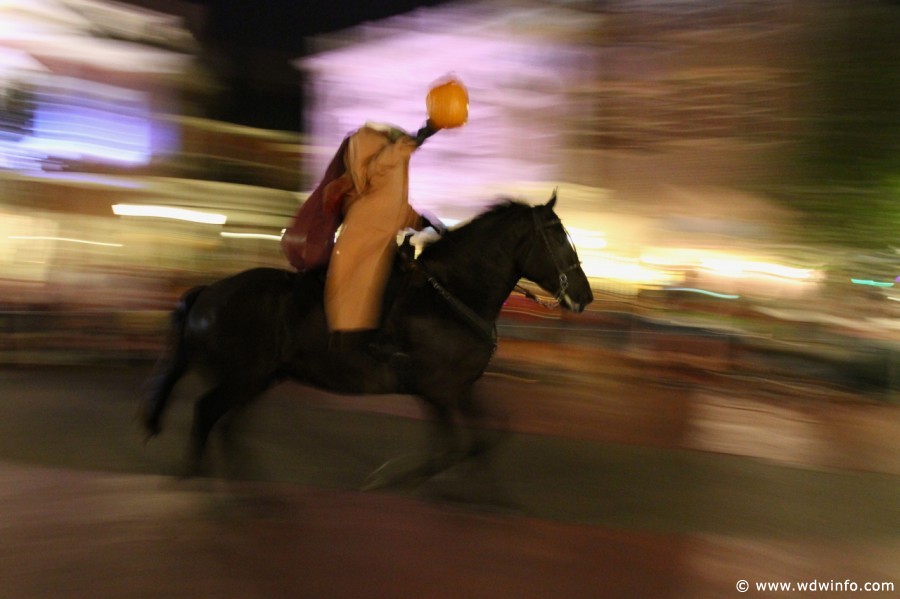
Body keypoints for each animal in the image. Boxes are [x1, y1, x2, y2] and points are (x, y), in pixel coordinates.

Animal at [141, 195, 596, 486]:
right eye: (558, 238)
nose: (585, 296)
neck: (451, 296)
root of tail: (208, 292)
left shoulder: (458, 388)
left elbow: (487, 437)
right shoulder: (440, 391)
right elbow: (455, 448)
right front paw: (401, 478)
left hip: (258, 379)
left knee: (227, 426)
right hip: (243, 377)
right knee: (206, 415)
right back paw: (198, 477)